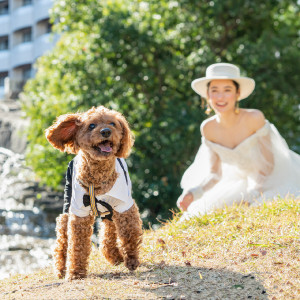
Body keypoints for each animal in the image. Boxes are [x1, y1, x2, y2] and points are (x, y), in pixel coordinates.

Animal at [45, 106, 143, 282]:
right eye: (91, 125)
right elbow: (77, 244)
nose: (106, 131)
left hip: (109, 212)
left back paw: (115, 256)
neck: (97, 178)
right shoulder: (78, 212)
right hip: (67, 205)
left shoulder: (124, 206)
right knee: (62, 239)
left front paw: (132, 260)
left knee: (108, 233)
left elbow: (129, 234)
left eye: (112, 123)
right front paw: (75, 273)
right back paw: (61, 269)